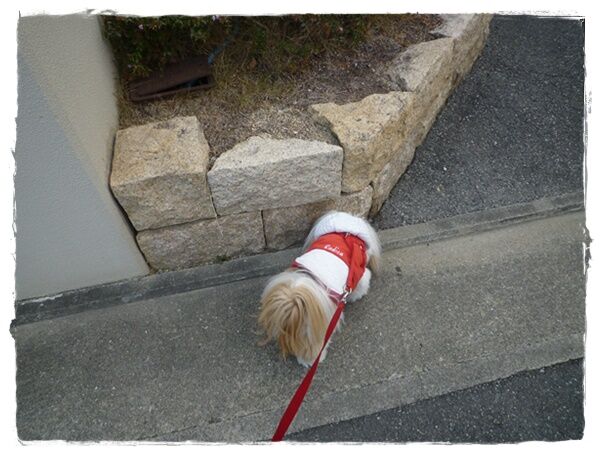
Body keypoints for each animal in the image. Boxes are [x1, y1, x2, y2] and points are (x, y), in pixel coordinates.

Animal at [258, 211, 381, 367]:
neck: (346, 234)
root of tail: (294, 304)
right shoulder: (358, 274)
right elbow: (362, 284)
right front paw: (355, 297)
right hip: (319, 328)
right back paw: (313, 359)